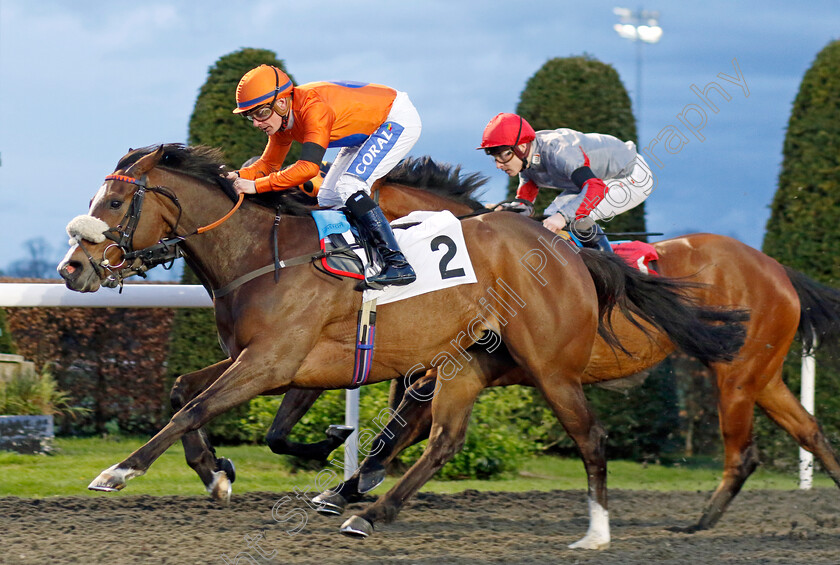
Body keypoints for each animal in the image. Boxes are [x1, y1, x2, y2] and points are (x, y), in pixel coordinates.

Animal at [55, 144, 744, 548]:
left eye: (114, 200)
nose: (71, 269)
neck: (259, 256)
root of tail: (564, 251)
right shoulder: (258, 358)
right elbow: (184, 393)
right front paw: (216, 473)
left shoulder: (279, 363)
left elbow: (196, 407)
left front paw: (120, 471)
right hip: (465, 364)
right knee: (445, 440)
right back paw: (372, 511)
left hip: (550, 367)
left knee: (591, 437)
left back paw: (597, 534)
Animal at [266, 158, 840, 532]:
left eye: (333, 209)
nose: (327, 260)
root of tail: (775, 268)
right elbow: (397, 429)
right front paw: (344, 489)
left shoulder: (446, 367)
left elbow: (400, 429)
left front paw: (353, 489)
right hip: (761, 373)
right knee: (809, 430)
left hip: (735, 376)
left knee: (743, 453)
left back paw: (698, 523)